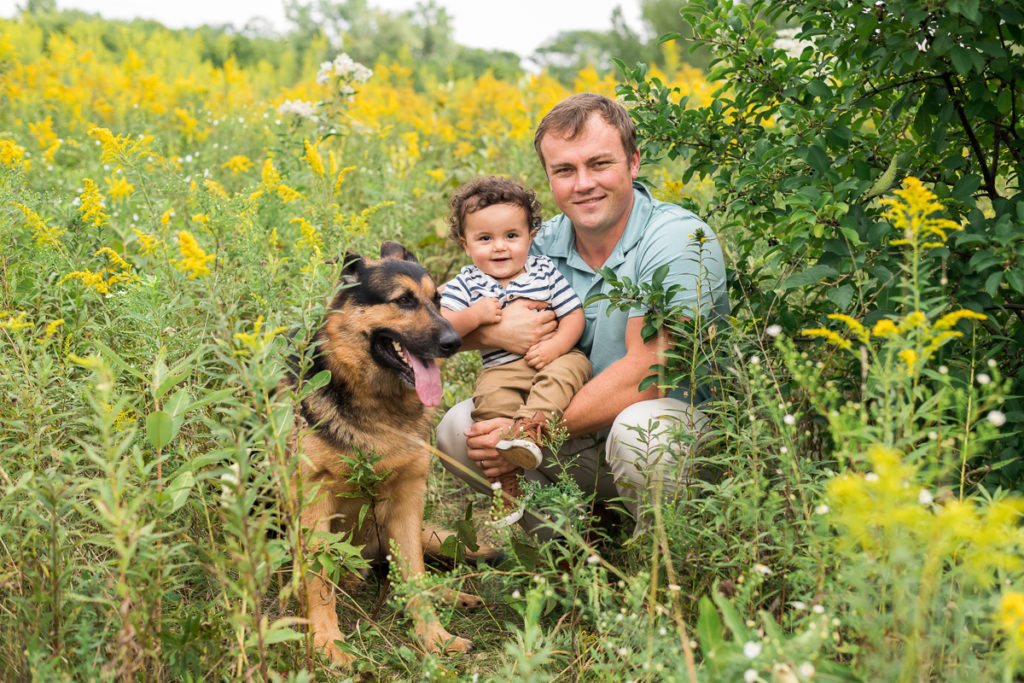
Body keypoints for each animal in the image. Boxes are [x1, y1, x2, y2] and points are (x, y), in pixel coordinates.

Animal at [280, 241, 479, 667]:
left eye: (438, 299)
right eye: (403, 300)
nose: (455, 342)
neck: (375, 405)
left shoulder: (407, 500)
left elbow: (416, 574)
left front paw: (434, 638)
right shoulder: (314, 503)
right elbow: (319, 580)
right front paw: (328, 643)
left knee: (409, 570)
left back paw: (452, 594)